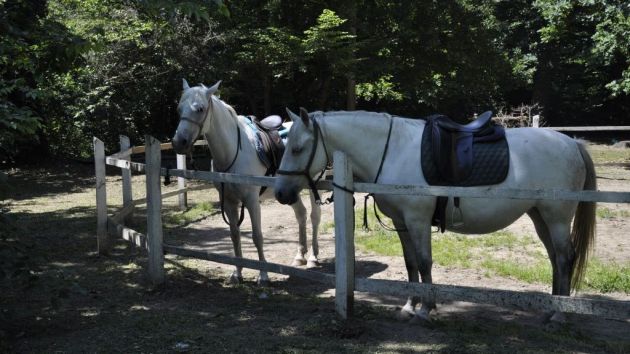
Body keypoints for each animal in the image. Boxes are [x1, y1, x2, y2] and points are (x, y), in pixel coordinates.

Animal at [170, 80, 324, 284]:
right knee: (301, 214)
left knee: (315, 216)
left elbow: (257, 236)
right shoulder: (228, 201)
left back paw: (313, 257)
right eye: (179, 109)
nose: (178, 142)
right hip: (289, 191)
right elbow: (235, 235)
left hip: (313, 187)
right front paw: (237, 273)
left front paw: (263, 275)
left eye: (200, 108)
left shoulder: (251, 200)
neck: (233, 151)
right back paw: (300, 256)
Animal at [276, 108, 596, 324]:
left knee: (565, 258)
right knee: (555, 259)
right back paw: (553, 306)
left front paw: (427, 309)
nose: (281, 194)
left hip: (556, 217)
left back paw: (559, 315)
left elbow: (424, 262)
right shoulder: (402, 222)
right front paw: (409, 305)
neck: (392, 150)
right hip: (540, 215)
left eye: (297, 148)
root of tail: (572, 143)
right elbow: (410, 264)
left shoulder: (417, 220)